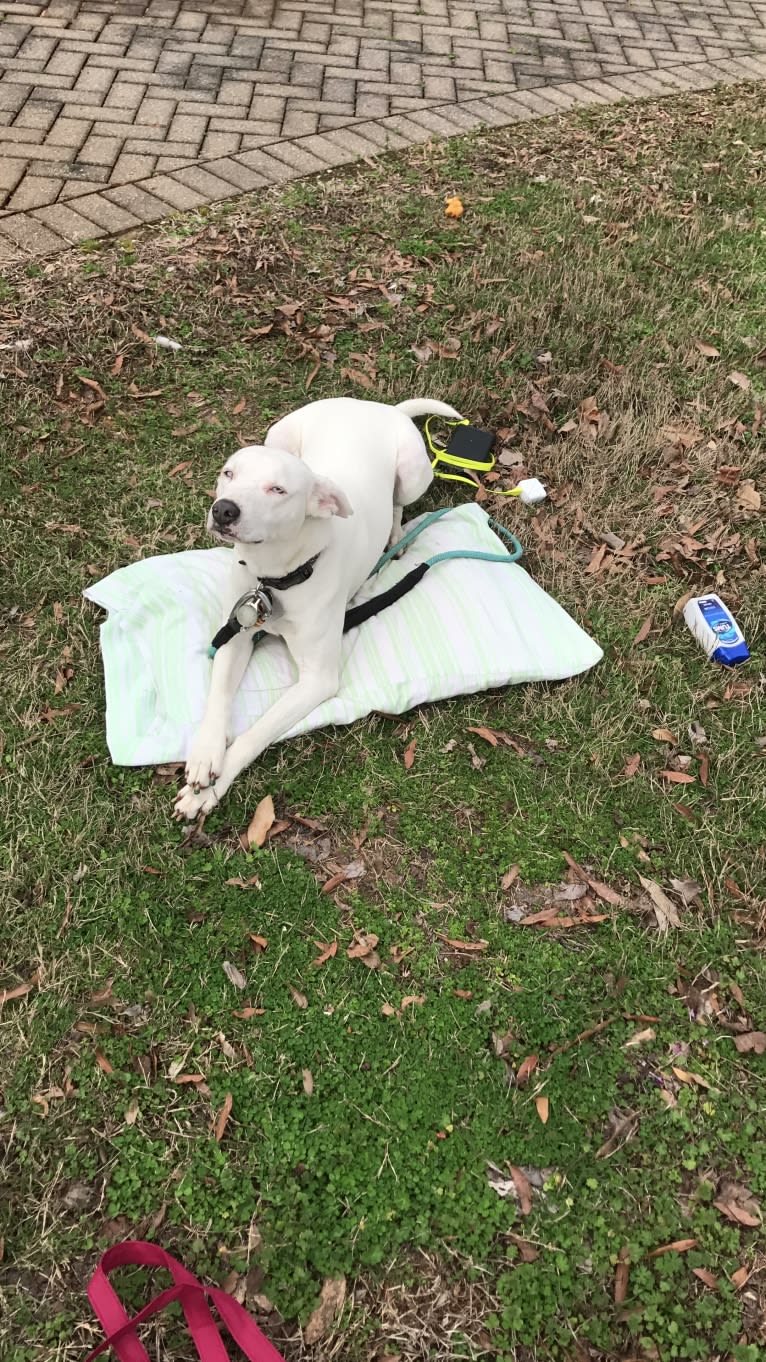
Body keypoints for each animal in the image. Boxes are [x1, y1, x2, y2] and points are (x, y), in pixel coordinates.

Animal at [173, 394, 457, 817]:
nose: (224, 509)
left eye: (278, 489)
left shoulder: (317, 679)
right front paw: (206, 755)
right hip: (281, 433)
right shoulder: (235, 634)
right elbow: (219, 698)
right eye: (229, 473)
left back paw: (394, 537)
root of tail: (380, 407)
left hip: (412, 473)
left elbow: (255, 733)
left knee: (397, 504)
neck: (276, 576)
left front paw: (209, 790)